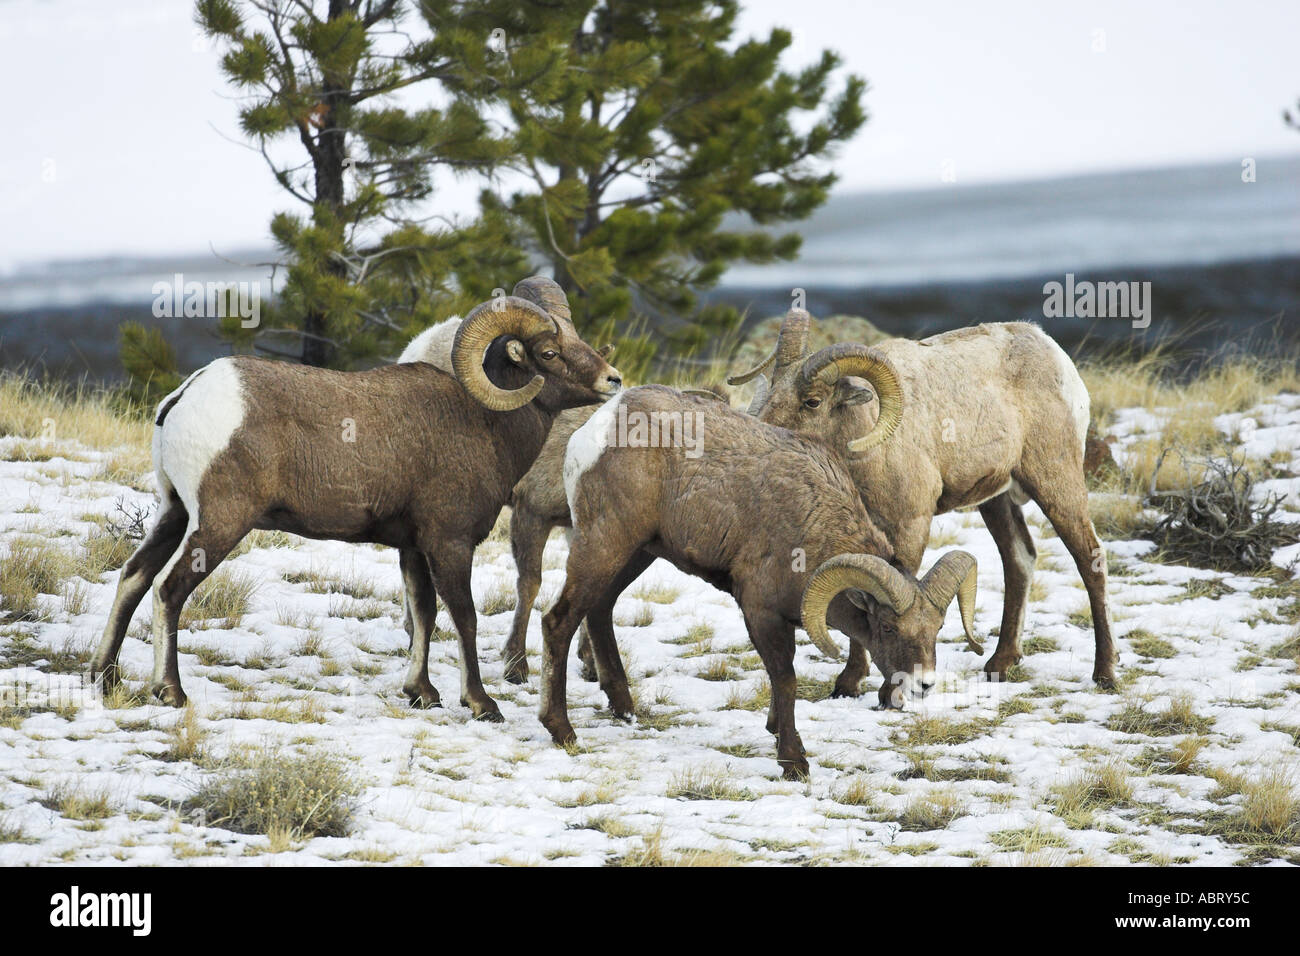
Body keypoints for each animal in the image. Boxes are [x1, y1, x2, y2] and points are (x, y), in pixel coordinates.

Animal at [89, 278, 622, 719]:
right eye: (548, 352)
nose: (612, 380)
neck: (485, 423)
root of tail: (186, 397)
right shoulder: (449, 543)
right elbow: (464, 617)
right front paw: (481, 703)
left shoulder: (413, 547)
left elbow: (424, 614)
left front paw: (422, 694)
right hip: (217, 525)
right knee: (168, 590)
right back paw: (171, 693)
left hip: (174, 513)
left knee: (134, 577)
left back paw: (105, 679)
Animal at [539, 385, 981, 779]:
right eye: (888, 627)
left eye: (937, 627)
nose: (923, 684)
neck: (811, 525)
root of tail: (600, 426)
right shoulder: (761, 612)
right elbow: (785, 678)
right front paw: (794, 762)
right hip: (605, 543)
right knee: (558, 621)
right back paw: (562, 732)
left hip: (636, 552)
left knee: (600, 608)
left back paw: (625, 709)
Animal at [738, 311, 1115, 691]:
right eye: (772, 389)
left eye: (812, 401)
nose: (760, 432)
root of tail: (1053, 352)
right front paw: (848, 683)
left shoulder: (910, 525)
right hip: (996, 501)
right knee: (1019, 560)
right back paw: (1000, 663)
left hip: (1056, 483)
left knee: (1090, 559)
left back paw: (1105, 674)